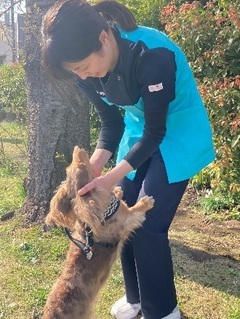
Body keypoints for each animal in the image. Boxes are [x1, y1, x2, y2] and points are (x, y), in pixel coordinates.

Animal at [41, 146, 154, 318]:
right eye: (80, 166)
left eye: (69, 168)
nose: (77, 148)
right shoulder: (125, 221)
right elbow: (135, 212)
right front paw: (145, 202)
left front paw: (118, 191)